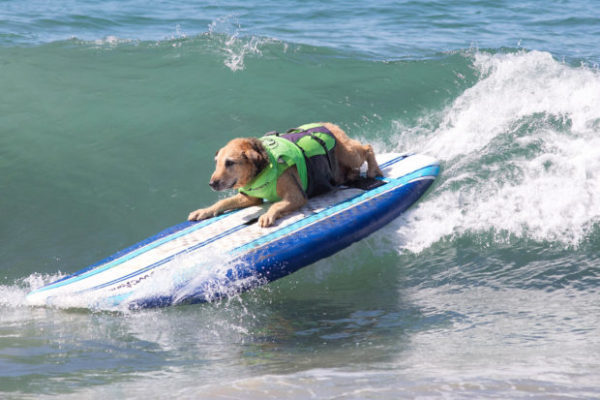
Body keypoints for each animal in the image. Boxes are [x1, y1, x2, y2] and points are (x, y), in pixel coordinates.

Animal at [188, 122, 384, 228]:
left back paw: (373, 170)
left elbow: (276, 205)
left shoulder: (296, 196)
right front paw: (204, 211)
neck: (263, 168)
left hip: (348, 153)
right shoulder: (251, 198)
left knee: (367, 148)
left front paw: (268, 215)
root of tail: (327, 124)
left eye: (229, 162)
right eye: (217, 162)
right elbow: (222, 202)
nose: (212, 183)